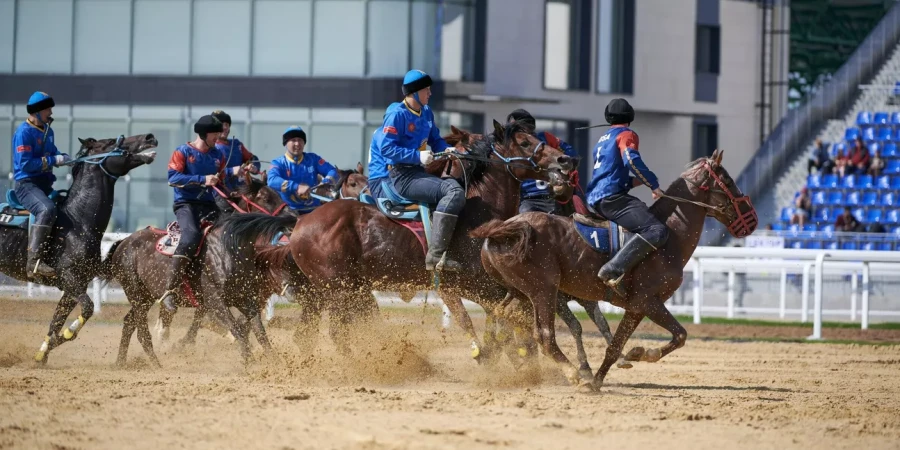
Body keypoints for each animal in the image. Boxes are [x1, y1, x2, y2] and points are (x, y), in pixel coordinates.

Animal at [0, 132, 160, 364]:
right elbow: (86, 310)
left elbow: (56, 322)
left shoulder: (74, 285)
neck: (76, 221)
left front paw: (42, 354)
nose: (149, 137)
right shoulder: (70, 279)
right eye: (111, 141)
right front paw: (64, 336)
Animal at [225, 119, 576, 358]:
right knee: (336, 332)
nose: (565, 160)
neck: (477, 212)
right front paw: (488, 353)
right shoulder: (459, 285)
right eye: (524, 141)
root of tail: (300, 222)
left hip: (327, 292)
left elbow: (508, 312)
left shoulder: (491, 286)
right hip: (340, 290)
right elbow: (477, 318)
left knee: (308, 335)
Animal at [474, 149, 756, 388]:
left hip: (521, 292)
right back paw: (572, 372)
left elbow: (616, 346)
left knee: (502, 314)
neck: (670, 237)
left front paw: (603, 376)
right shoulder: (648, 301)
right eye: (728, 180)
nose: (752, 219)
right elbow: (680, 334)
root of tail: (505, 229)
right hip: (544, 291)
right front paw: (640, 353)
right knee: (543, 334)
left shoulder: (636, 308)